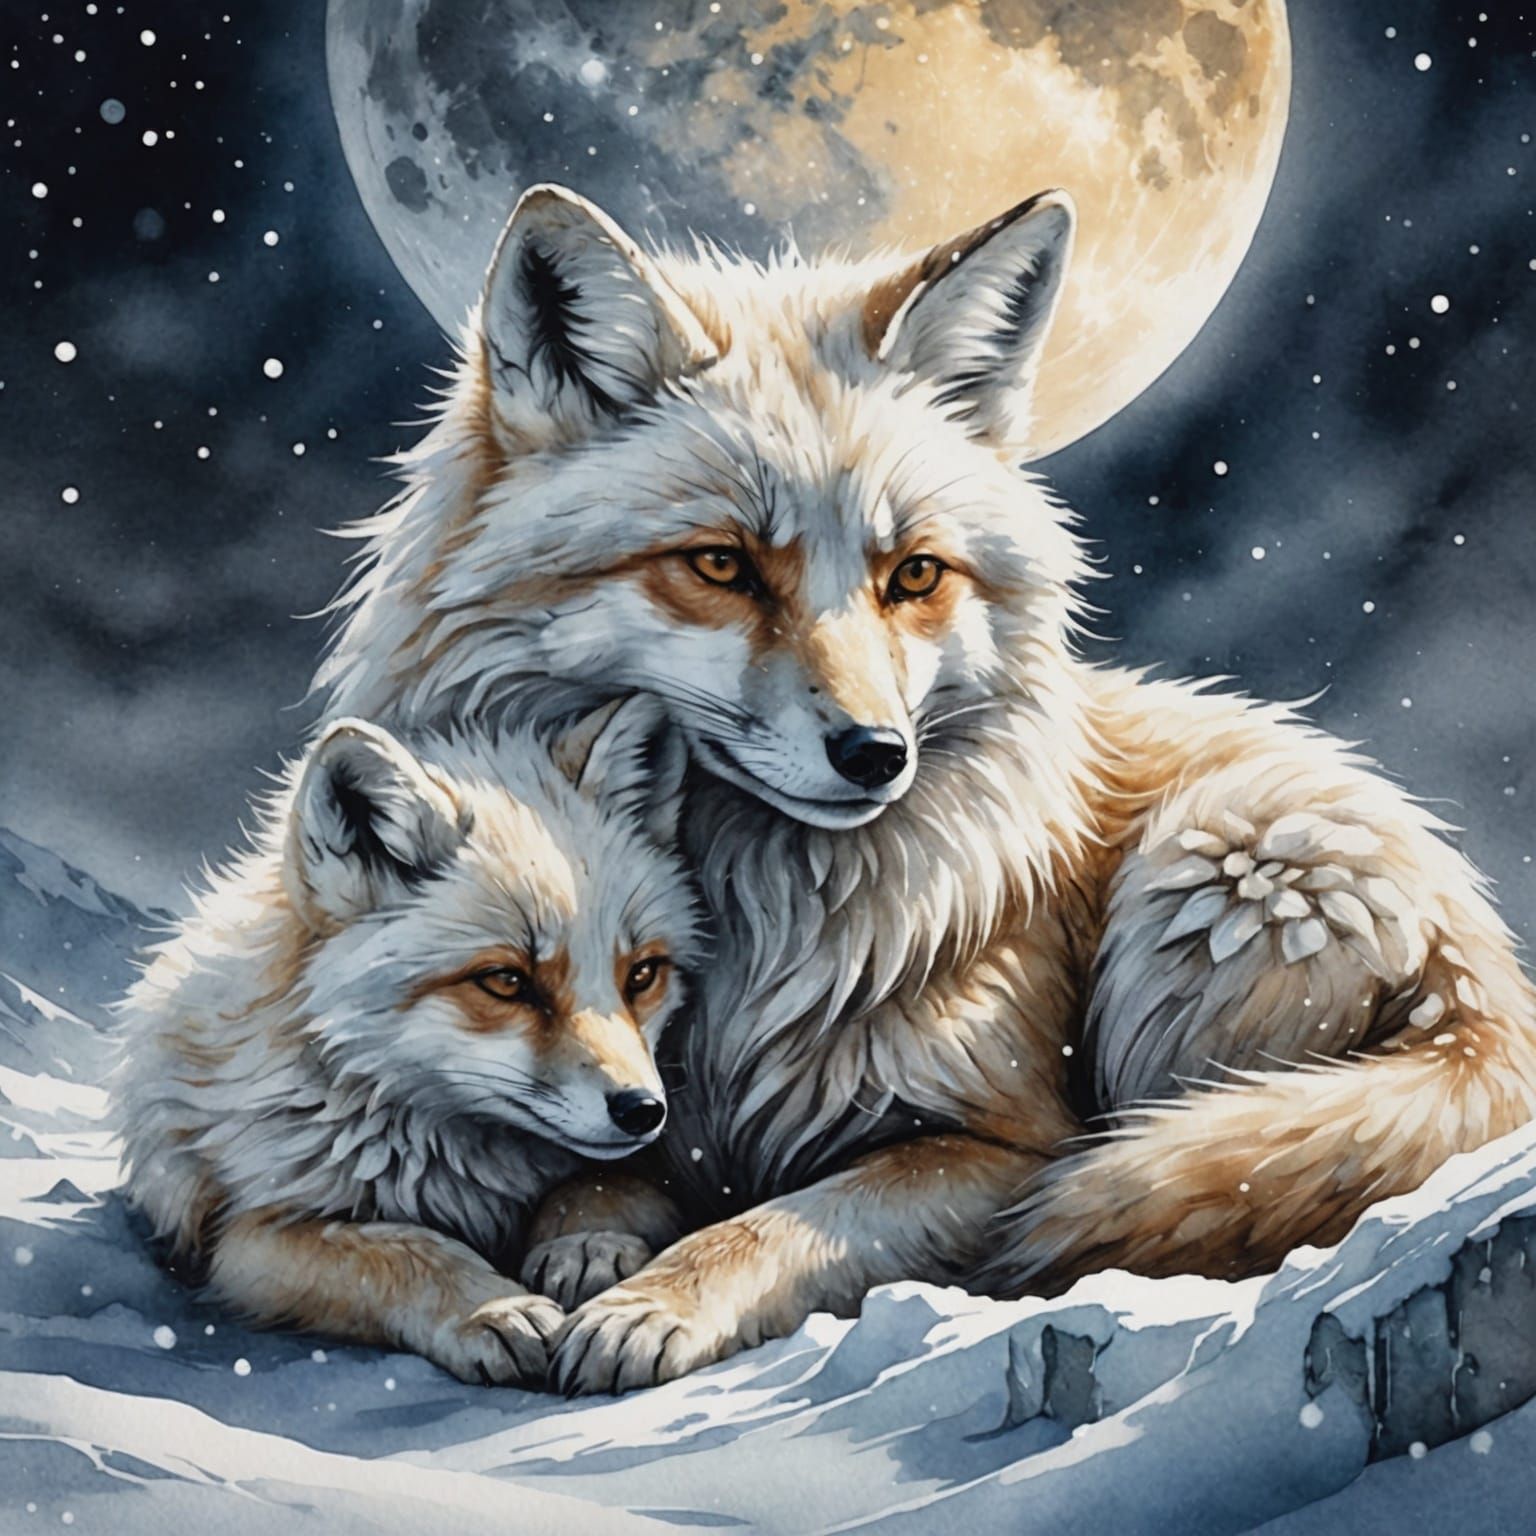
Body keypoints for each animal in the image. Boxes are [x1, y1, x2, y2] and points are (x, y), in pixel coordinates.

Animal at [115, 698, 699, 1384]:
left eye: (641, 974)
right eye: (507, 981)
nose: (643, 1110)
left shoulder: (649, 1171)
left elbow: (605, 1184)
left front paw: (586, 1245)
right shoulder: (243, 1236)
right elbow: (400, 1249)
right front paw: (491, 1309)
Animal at [311, 181, 1536, 1394]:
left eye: (914, 576)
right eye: (721, 565)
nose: (876, 754)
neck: (750, 942)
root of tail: (1489, 987)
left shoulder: (1007, 1143)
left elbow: (778, 1226)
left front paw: (651, 1303)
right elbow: (610, 1169)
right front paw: (584, 1246)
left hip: (1210, 874)